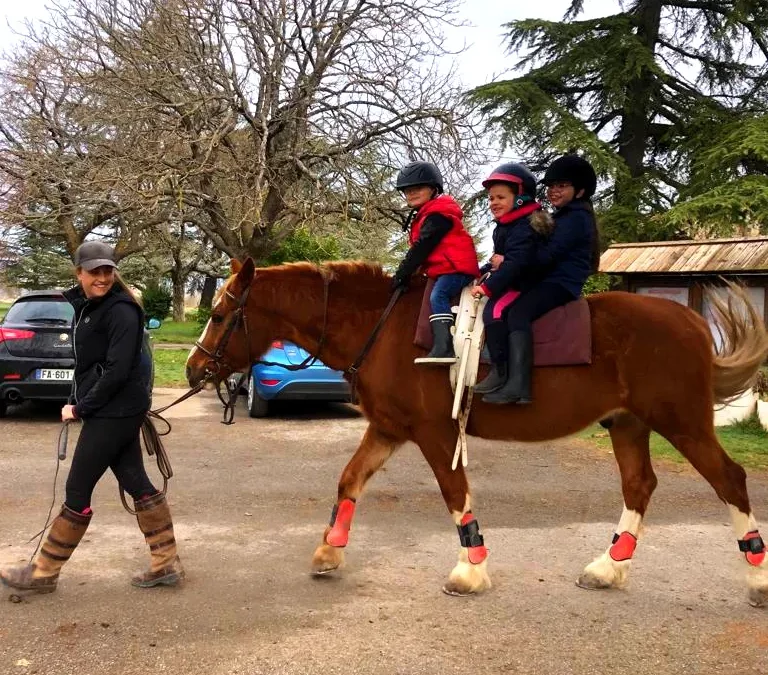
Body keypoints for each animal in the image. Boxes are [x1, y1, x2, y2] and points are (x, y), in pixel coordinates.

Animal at [186, 258, 768, 608]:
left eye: (218, 313)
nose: (194, 369)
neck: (386, 326)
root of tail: (691, 323)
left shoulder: (435, 434)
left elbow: (455, 495)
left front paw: (470, 570)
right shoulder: (388, 429)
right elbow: (349, 481)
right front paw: (330, 553)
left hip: (682, 423)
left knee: (731, 481)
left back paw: (757, 577)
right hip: (629, 424)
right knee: (639, 486)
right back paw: (609, 567)